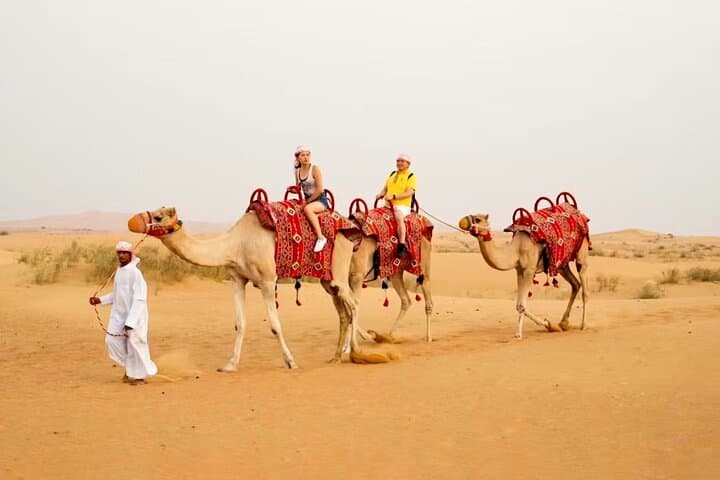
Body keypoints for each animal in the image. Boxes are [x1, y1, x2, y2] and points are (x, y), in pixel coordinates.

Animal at [127, 206, 390, 371]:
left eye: (158, 216)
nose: (132, 221)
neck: (234, 244)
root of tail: (348, 236)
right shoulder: (237, 279)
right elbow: (239, 323)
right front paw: (229, 365)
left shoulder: (267, 280)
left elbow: (274, 325)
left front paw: (291, 362)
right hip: (328, 280)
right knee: (344, 312)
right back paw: (336, 357)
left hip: (339, 272)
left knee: (354, 304)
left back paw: (357, 352)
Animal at [459, 213, 589, 339]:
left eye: (478, 219)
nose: (462, 222)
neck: (517, 248)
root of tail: (581, 215)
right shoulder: (520, 271)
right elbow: (518, 305)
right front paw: (551, 325)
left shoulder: (529, 270)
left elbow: (522, 305)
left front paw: (526, 332)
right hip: (562, 265)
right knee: (575, 284)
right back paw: (563, 323)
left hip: (581, 251)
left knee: (584, 286)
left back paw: (583, 325)